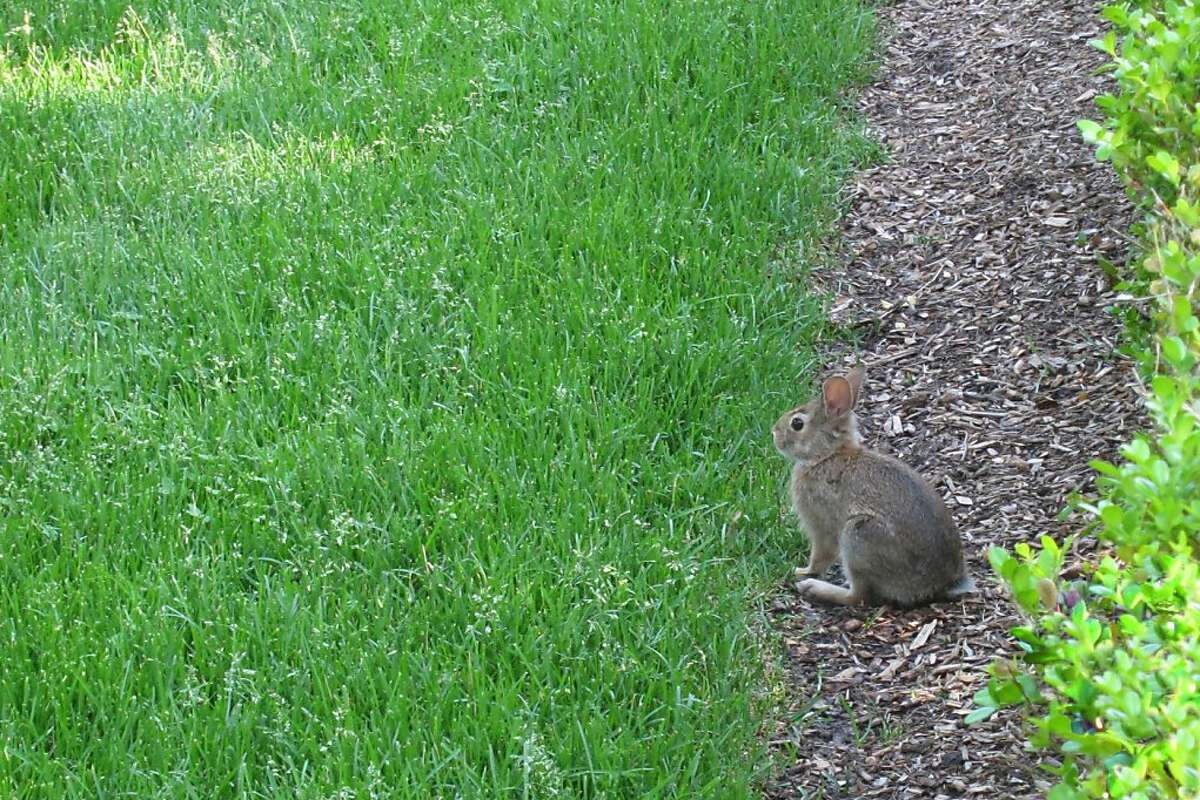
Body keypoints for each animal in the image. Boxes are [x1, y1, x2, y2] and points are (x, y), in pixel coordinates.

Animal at [771, 366, 974, 607]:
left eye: (797, 424)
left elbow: (821, 554)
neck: (826, 455)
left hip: (858, 536)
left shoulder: (820, 523)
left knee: (860, 596)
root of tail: (941, 584)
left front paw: (802, 571)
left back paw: (814, 588)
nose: (774, 433)